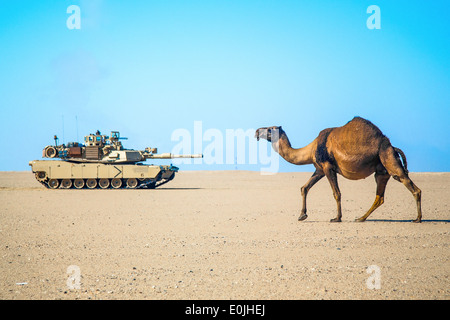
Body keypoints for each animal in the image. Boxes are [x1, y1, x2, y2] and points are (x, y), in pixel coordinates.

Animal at [256, 116, 422, 224]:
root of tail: (393, 147)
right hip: (382, 170)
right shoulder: (319, 169)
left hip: (388, 158)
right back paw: (360, 218)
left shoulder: (328, 167)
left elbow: (336, 193)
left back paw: (418, 218)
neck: (311, 149)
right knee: (379, 196)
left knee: (409, 184)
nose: (257, 131)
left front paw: (337, 218)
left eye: (270, 129)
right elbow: (304, 188)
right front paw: (302, 215)